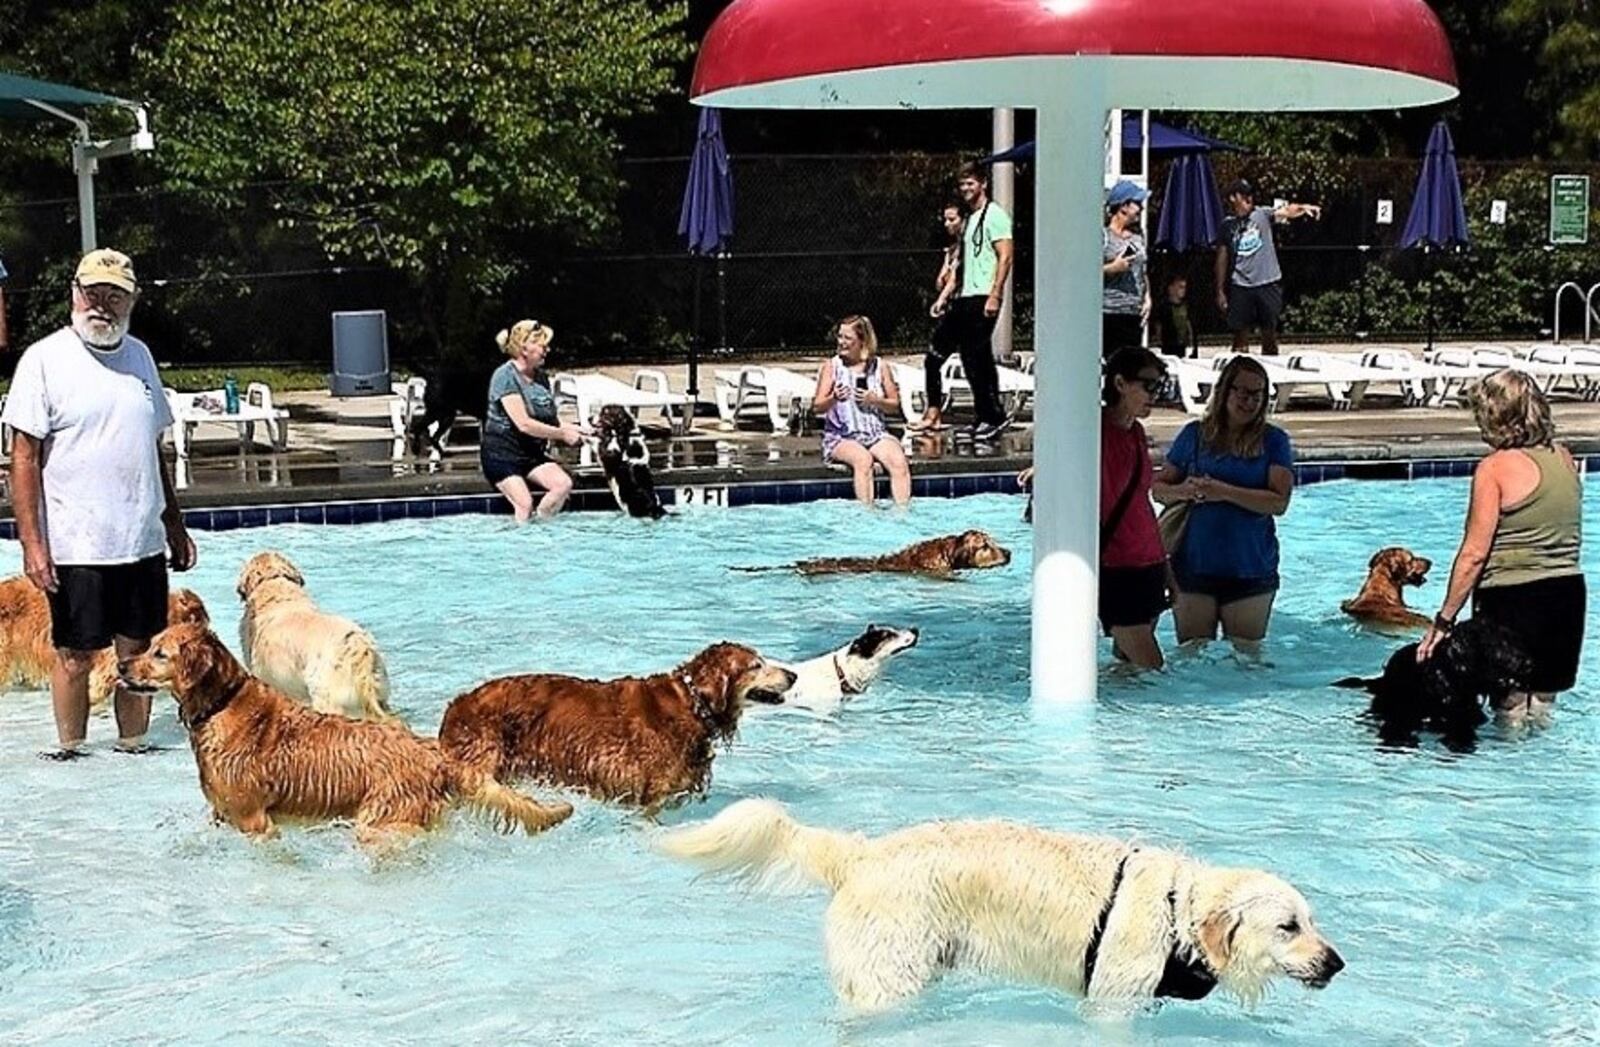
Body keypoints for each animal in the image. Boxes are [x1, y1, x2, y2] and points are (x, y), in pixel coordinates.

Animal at [656, 803, 1344, 1018]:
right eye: (1289, 927)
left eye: (1311, 921)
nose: (1338, 963)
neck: (1177, 911)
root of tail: (862, 854)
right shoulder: (1112, 1002)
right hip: (887, 977)